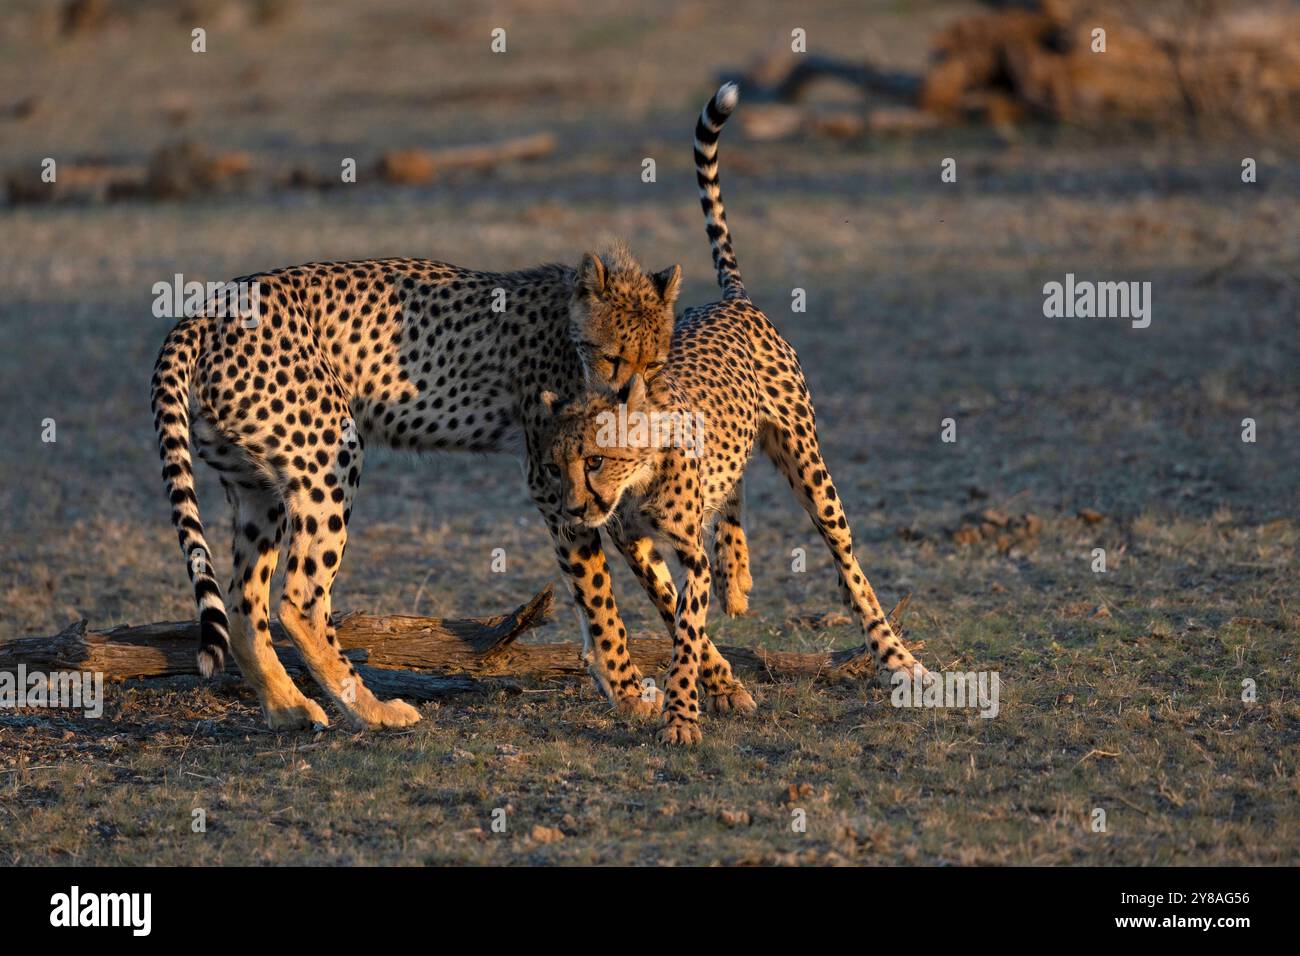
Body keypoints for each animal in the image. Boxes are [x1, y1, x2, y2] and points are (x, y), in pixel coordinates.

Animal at [150, 247, 681, 733]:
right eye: (612, 357)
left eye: (653, 363)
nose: (627, 400)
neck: (568, 330)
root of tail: (208, 307)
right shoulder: (554, 483)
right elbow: (599, 592)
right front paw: (628, 692)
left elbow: (663, 584)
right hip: (329, 455)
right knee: (300, 600)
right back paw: (374, 712)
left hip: (258, 487)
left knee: (244, 603)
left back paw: (289, 709)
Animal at [543, 82, 930, 743]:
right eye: (556, 465)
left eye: (594, 460)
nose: (572, 507)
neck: (637, 478)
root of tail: (735, 301)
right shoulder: (638, 547)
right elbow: (675, 616)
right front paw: (712, 687)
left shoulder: (684, 550)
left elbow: (686, 633)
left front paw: (682, 715)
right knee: (734, 485)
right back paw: (737, 574)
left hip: (809, 463)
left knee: (849, 562)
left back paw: (896, 657)